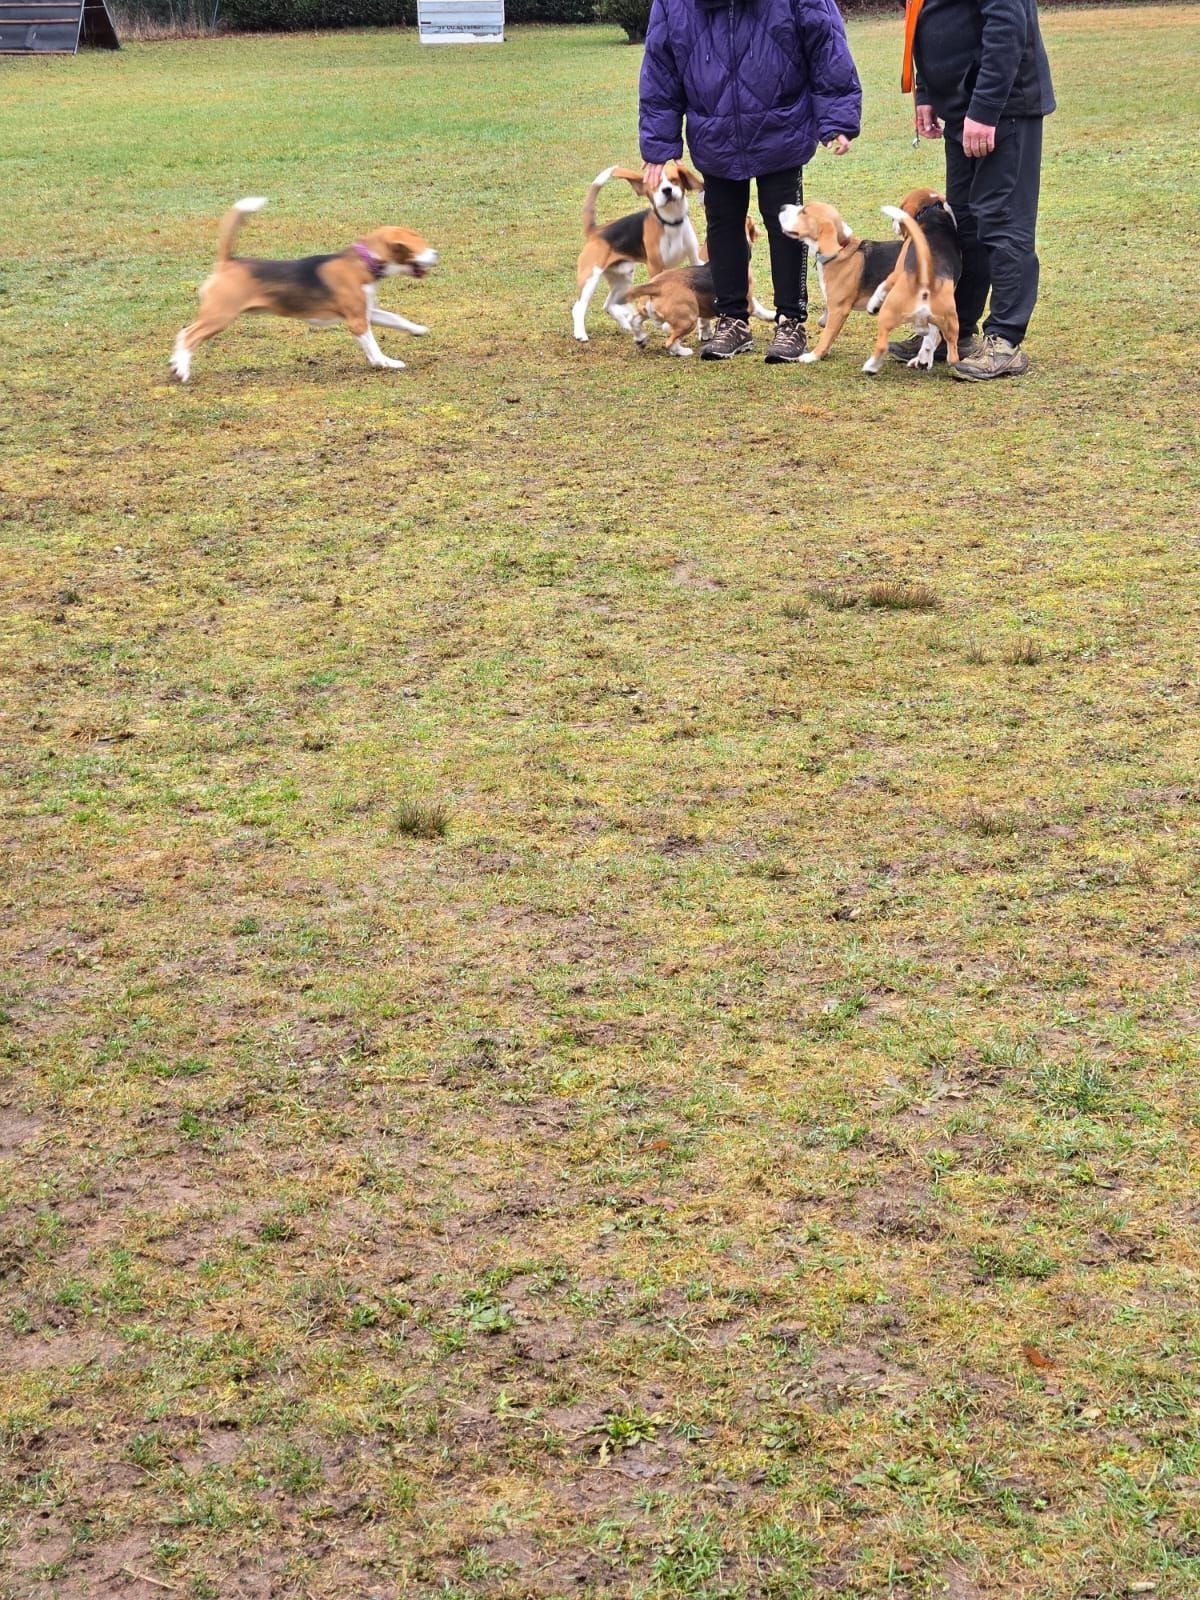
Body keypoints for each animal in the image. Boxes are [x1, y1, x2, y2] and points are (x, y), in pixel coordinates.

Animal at [170, 198, 437, 383]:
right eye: (420, 243)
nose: (436, 254)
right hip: (220, 316)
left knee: (184, 334)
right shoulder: (357, 321)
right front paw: (384, 362)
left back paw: (176, 365)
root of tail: (229, 261)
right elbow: (373, 345)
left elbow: (397, 319)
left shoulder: (365, 311)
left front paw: (417, 330)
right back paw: (182, 371)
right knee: (189, 335)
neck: (364, 261)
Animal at [572, 162, 703, 342]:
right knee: (579, 307)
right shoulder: (655, 267)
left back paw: (628, 325)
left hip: (623, 276)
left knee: (609, 304)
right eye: (655, 185)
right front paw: (662, 323)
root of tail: (595, 231)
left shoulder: (694, 258)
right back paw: (580, 334)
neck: (671, 222)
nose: (667, 190)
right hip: (590, 279)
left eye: (674, 180)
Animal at [614, 220, 773, 356]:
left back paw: (640, 339)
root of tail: (657, 285)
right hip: (688, 319)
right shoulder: (748, 302)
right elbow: (758, 309)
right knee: (670, 342)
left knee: (635, 320)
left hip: (647, 309)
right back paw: (682, 351)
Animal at [777, 199, 903, 363]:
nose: (782, 207)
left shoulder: (838, 309)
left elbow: (826, 335)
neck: (842, 249)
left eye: (804, 212)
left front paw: (813, 356)